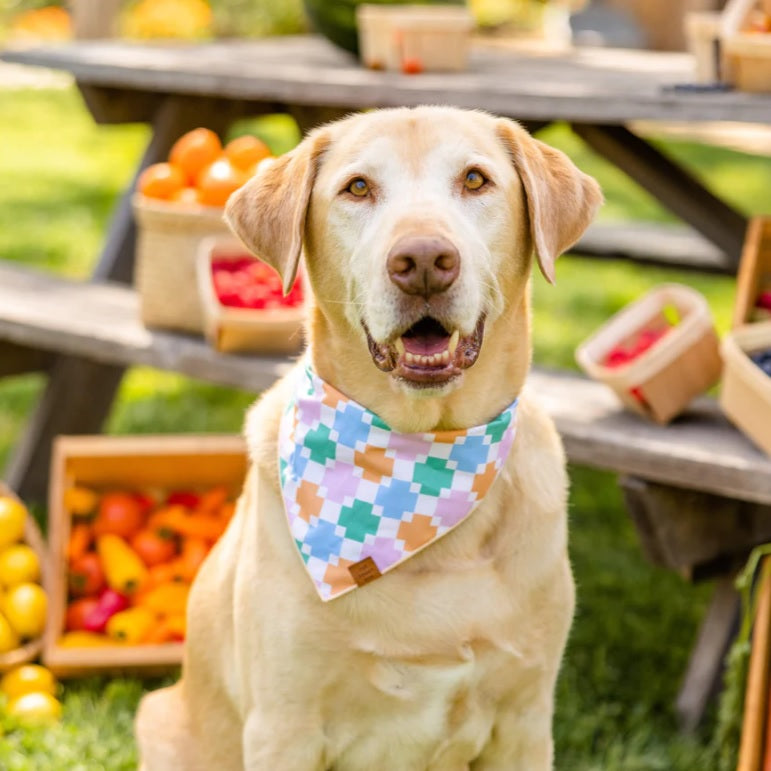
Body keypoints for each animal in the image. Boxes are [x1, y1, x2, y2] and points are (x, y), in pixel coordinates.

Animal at [134, 107, 604, 771]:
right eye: (357, 188)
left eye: (476, 180)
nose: (425, 260)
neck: (422, 459)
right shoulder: (283, 725)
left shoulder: (525, 720)